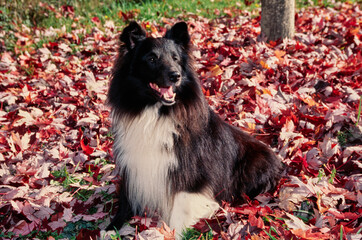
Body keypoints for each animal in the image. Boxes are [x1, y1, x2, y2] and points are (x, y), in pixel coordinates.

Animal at [106, 21, 282, 237]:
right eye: (152, 58)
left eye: (175, 58)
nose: (176, 76)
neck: (156, 111)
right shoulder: (134, 168)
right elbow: (125, 201)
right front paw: (110, 228)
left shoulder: (192, 173)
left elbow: (181, 207)